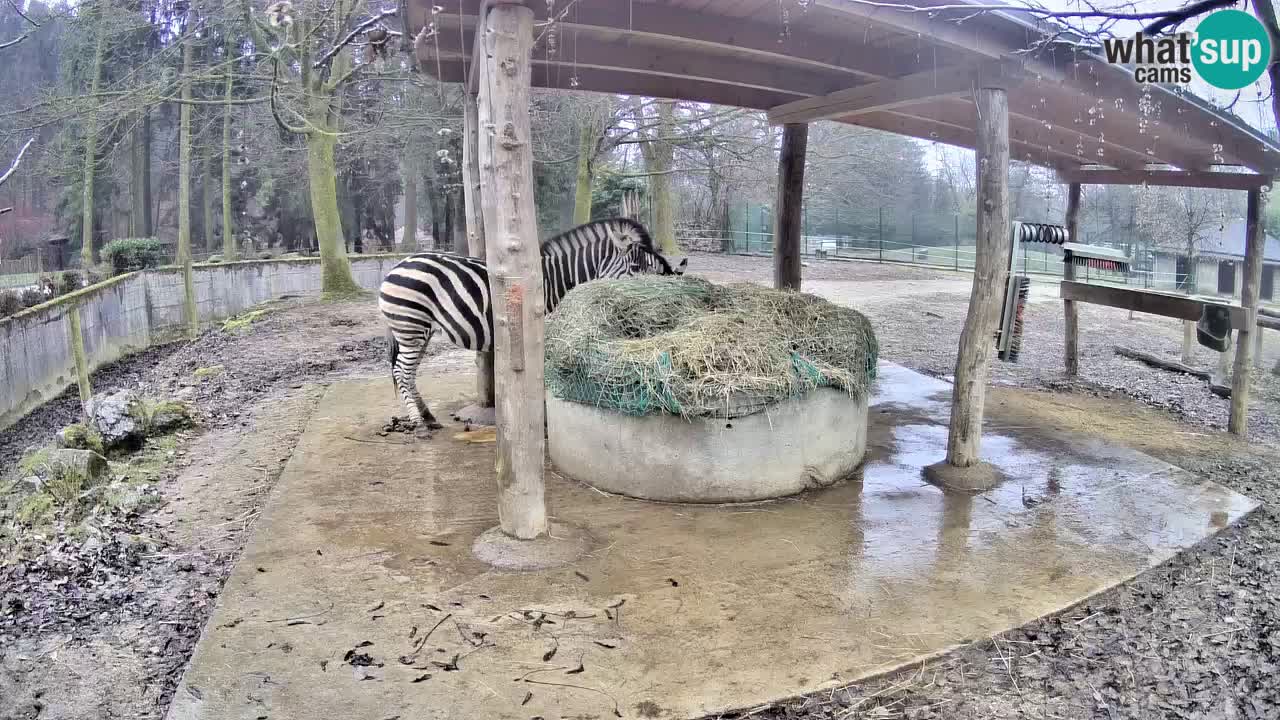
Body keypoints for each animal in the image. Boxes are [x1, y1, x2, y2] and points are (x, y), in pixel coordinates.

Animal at [373, 215, 686, 430]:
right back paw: (419, 425)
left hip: (418, 330)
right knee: (402, 372)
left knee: (407, 372)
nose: (658, 300)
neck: (557, 282)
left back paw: (428, 416)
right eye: (635, 268)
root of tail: (397, 265)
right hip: (411, 326)